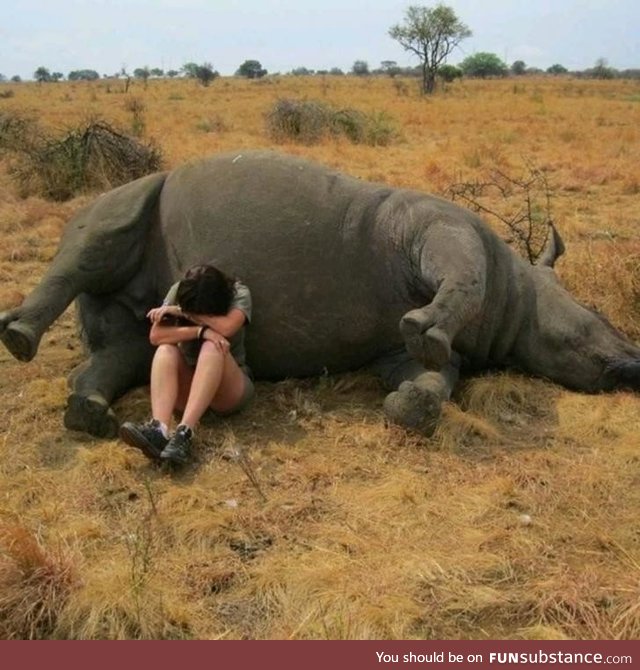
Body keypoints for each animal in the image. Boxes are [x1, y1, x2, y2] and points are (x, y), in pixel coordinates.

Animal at [1, 150, 640, 438]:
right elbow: (460, 279)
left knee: (129, 347)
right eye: (600, 316)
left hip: (149, 312)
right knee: (100, 233)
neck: (517, 290)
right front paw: (425, 328)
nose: (632, 365)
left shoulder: (394, 352)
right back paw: (19, 338)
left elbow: (430, 377)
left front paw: (408, 407)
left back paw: (87, 413)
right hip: (133, 194)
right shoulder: (440, 228)